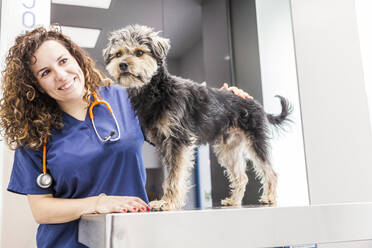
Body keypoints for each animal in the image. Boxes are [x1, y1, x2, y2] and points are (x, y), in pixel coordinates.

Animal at [103, 24, 292, 210]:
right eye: (118, 54)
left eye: (139, 52)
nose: (122, 65)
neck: (156, 91)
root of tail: (256, 104)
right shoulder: (164, 144)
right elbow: (171, 175)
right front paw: (168, 200)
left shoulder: (178, 140)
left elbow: (175, 176)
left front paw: (168, 202)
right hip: (228, 149)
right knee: (242, 177)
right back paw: (233, 201)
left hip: (255, 141)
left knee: (271, 171)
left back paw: (269, 197)